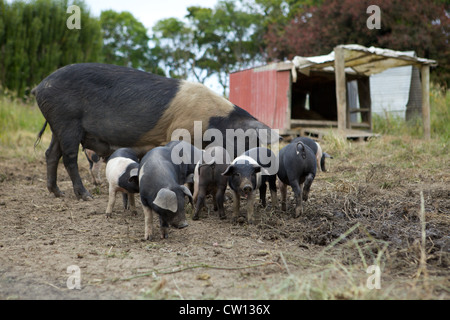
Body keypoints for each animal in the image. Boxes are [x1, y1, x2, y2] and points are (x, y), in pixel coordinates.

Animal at [32, 63, 278, 201]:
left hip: (58, 126)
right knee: (69, 157)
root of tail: (40, 86)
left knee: (51, 154)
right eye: (245, 141)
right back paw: (85, 196)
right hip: (67, 121)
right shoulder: (179, 133)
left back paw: (57, 193)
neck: (212, 122)